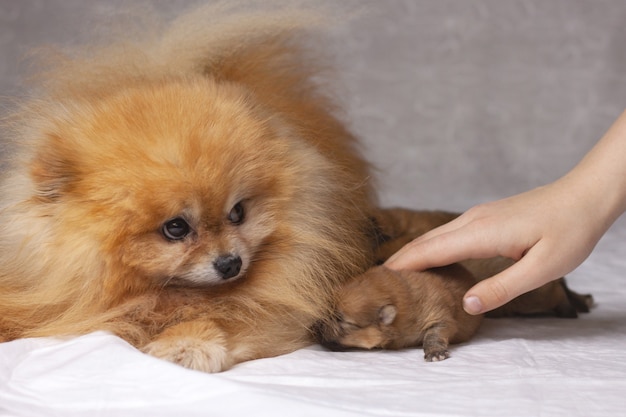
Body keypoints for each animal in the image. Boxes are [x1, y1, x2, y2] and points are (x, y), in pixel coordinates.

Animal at [0, 4, 376, 370]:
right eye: (176, 228)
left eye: (237, 213)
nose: (230, 263)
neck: (159, 293)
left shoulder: (276, 307)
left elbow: (223, 316)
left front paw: (185, 345)